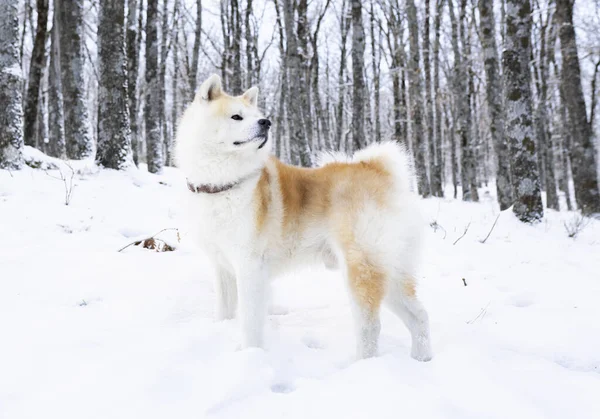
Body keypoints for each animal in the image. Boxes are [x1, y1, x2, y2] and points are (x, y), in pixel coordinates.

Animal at [173, 74, 432, 360]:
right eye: (236, 117)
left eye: (258, 116)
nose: (266, 122)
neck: (226, 184)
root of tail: (379, 171)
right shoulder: (223, 268)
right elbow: (225, 311)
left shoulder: (250, 267)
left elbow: (250, 322)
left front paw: (251, 355)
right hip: (391, 270)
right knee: (419, 316)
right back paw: (422, 358)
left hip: (362, 266)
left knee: (370, 325)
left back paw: (362, 363)